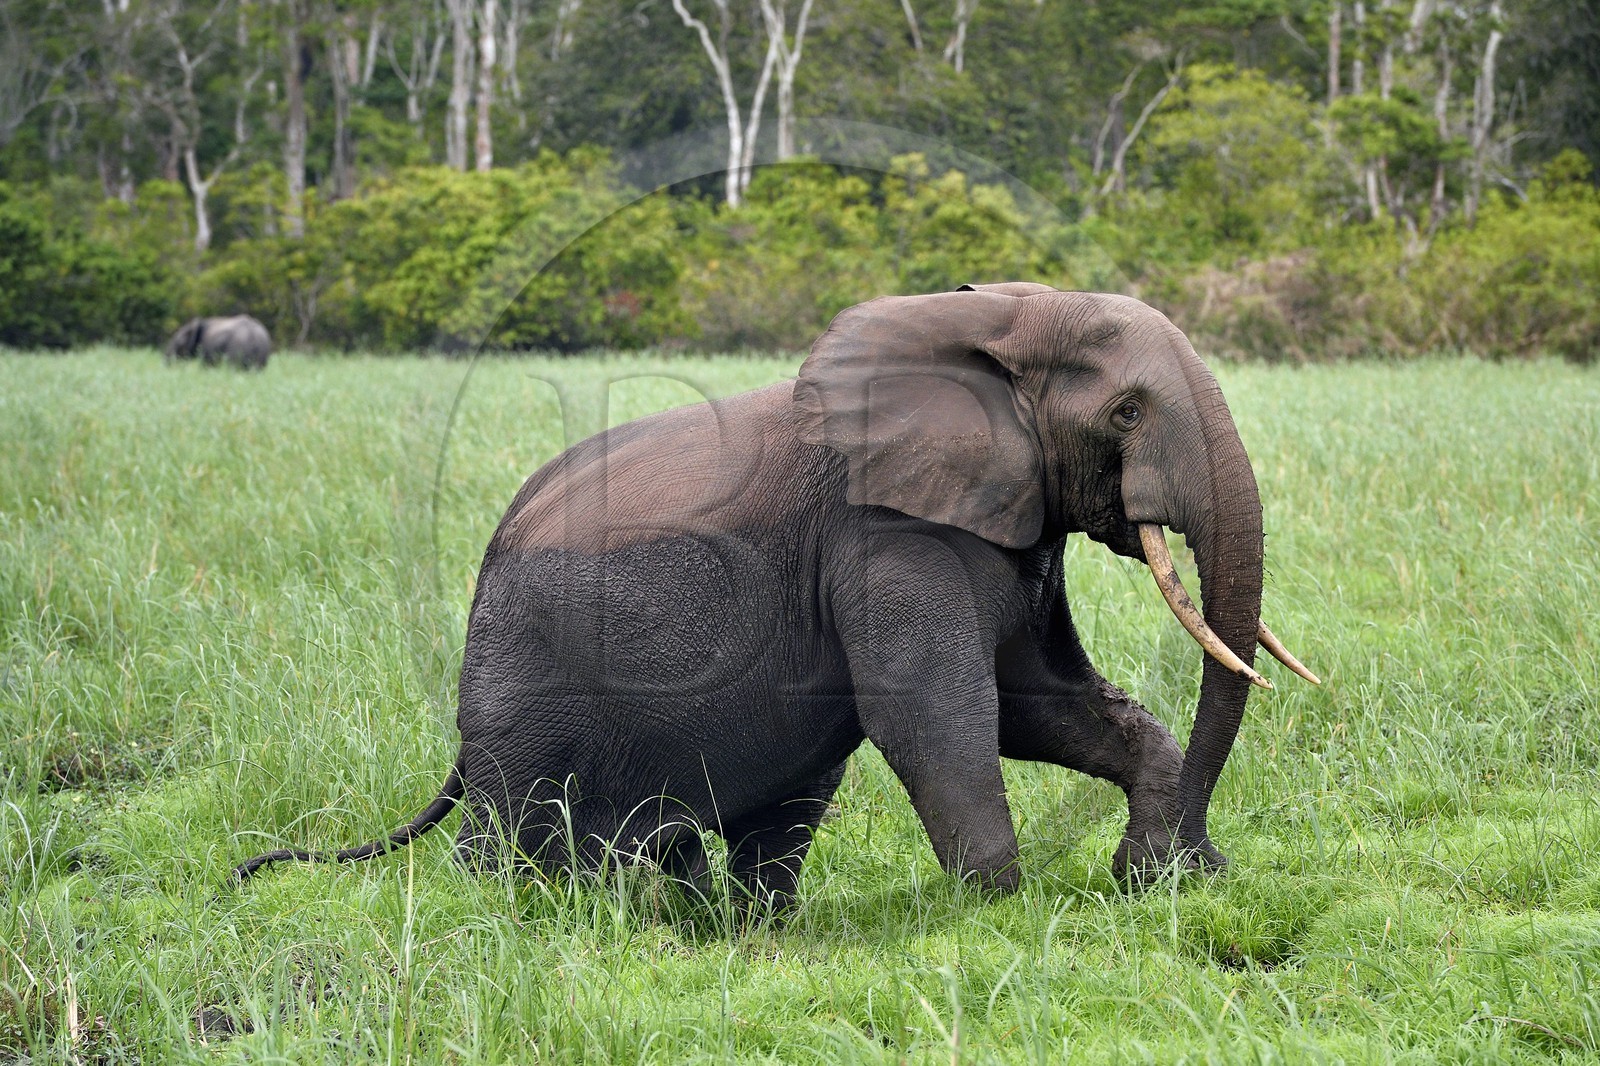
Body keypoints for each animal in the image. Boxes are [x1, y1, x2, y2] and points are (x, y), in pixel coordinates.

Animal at [234, 282, 1316, 908]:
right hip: (523, 676)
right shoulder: (882, 531)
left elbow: (1043, 701)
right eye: (1127, 411)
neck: (987, 319)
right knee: (516, 823)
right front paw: (1004, 906)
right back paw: (514, 917)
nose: (1192, 868)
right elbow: (937, 707)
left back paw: (736, 922)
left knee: (773, 811)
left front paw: (1154, 878)